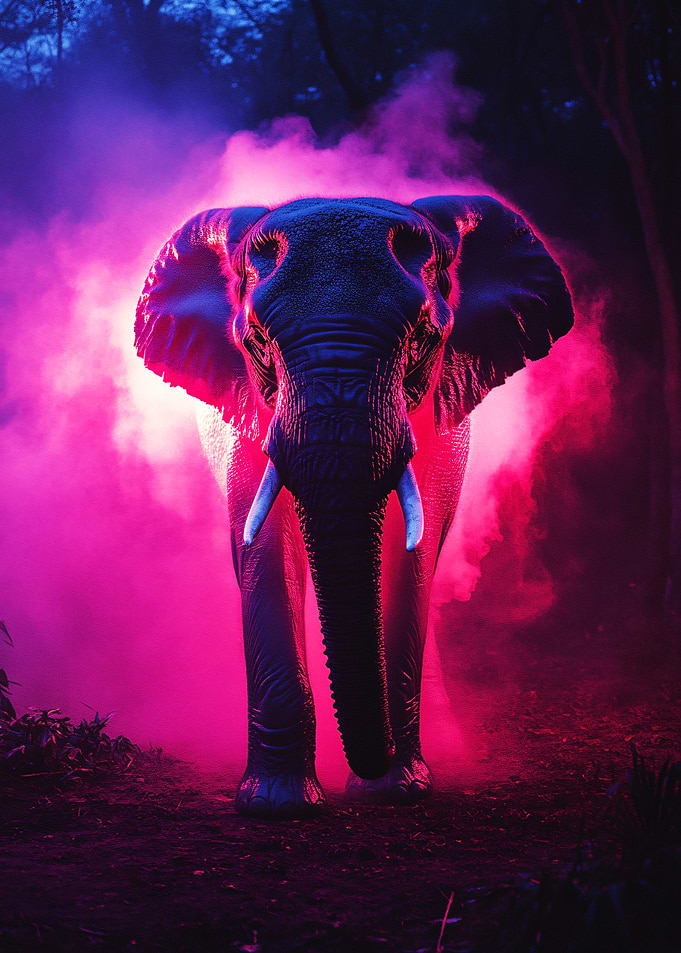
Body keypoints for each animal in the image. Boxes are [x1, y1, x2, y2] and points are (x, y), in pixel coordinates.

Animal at [134, 195, 573, 818]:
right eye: (257, 342)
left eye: (422, 338)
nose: (373, 761)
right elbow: (266, 552)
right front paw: (277, 804)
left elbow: (412, 556)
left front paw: (397, 790)